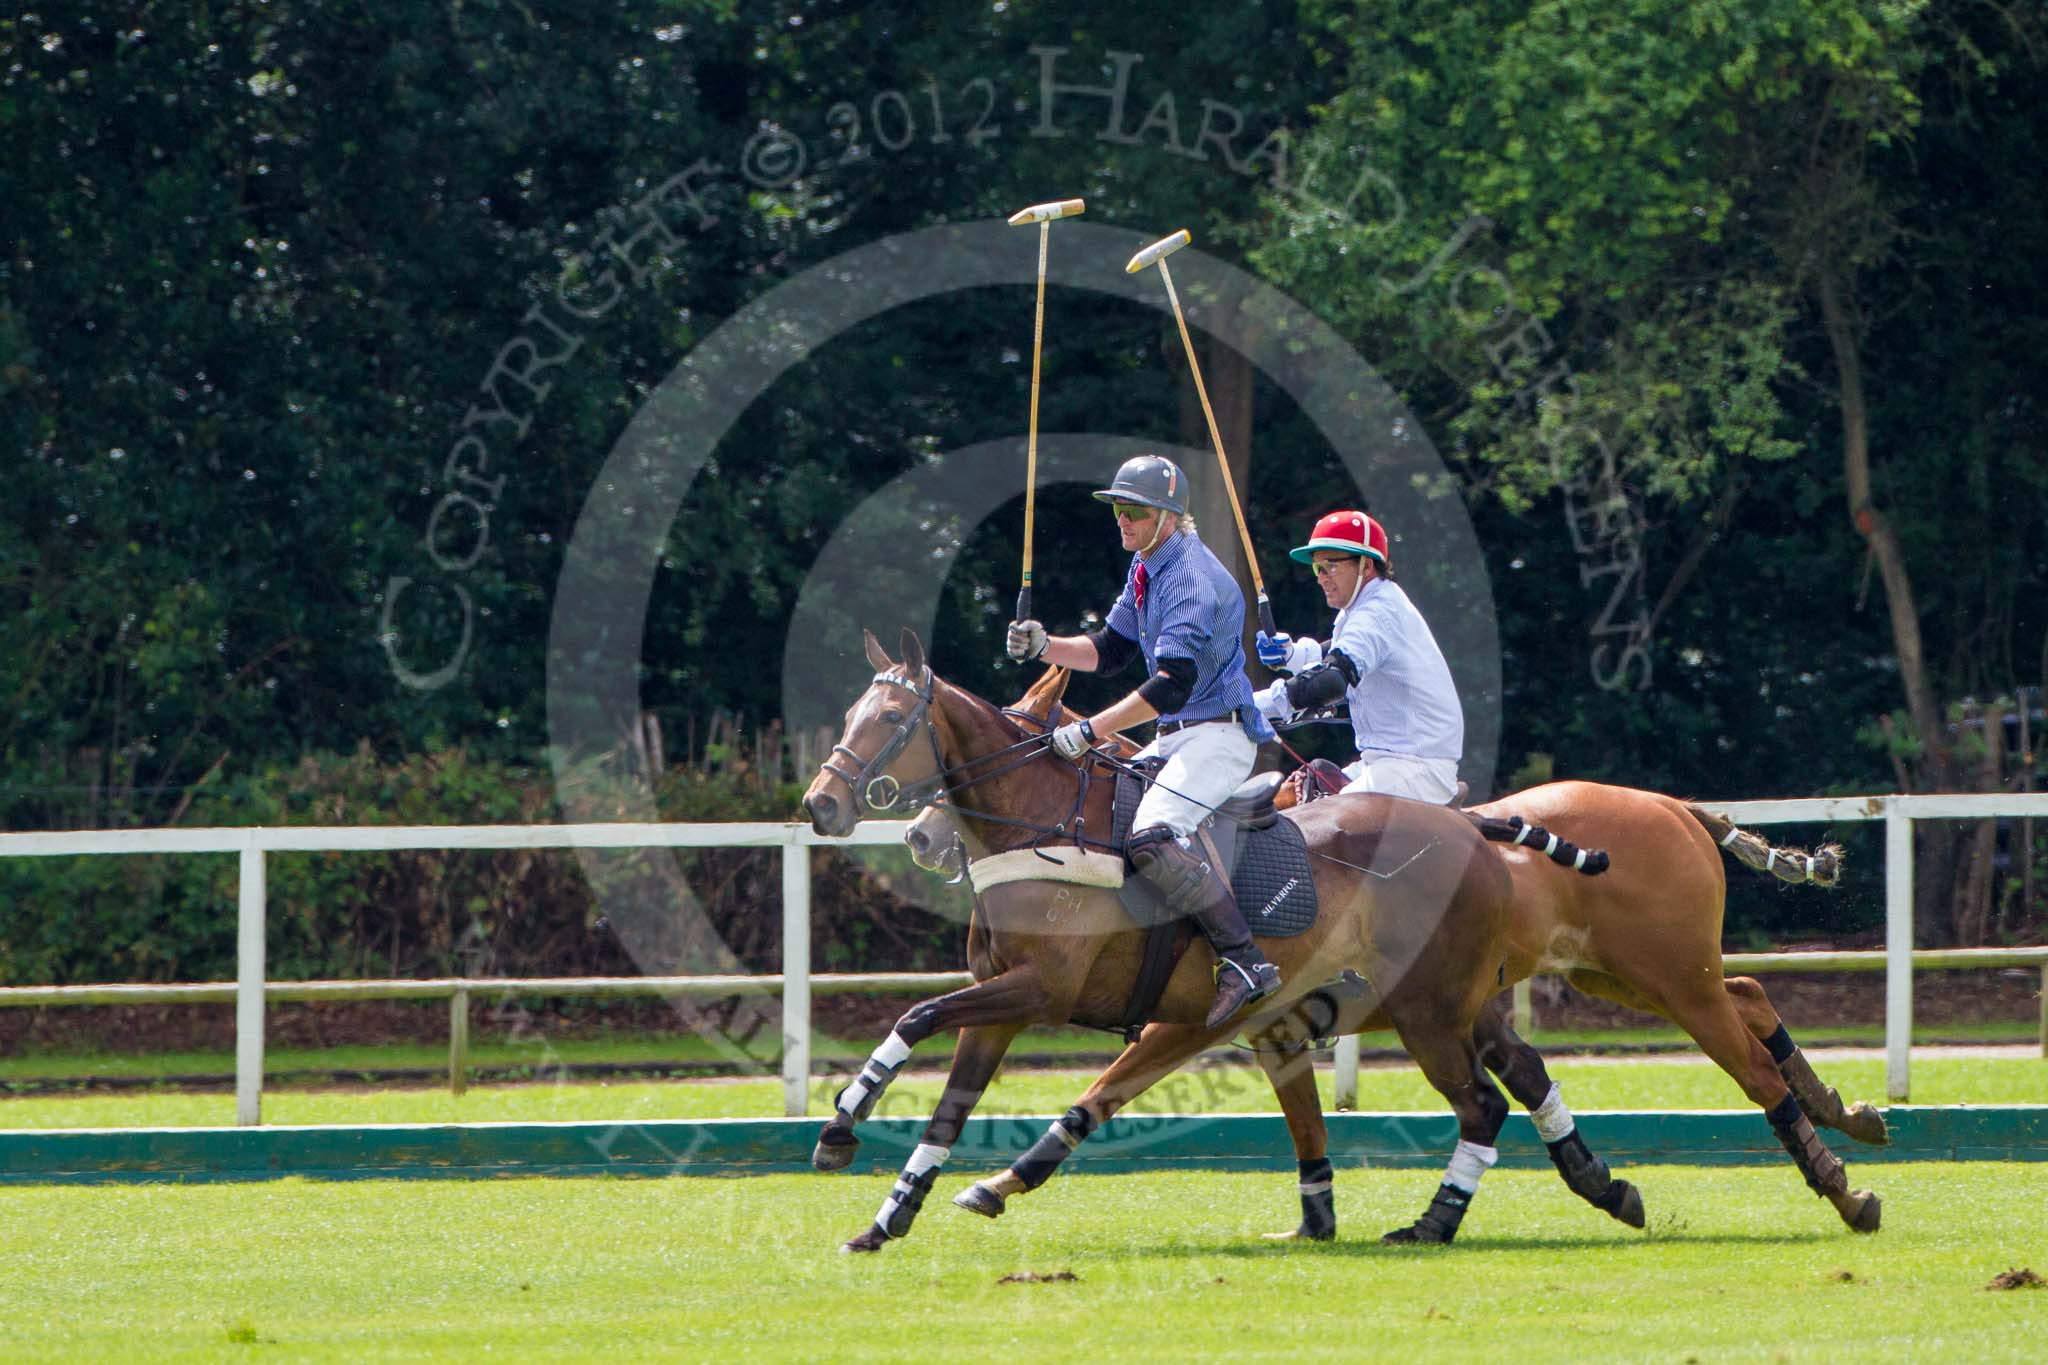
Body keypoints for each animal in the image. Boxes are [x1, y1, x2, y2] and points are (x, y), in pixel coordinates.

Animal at [798, 630, 1540, 1252]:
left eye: (890, 719)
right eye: (850, 716)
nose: (821, 804)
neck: (1045, 825)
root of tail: (1471, 826)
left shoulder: (1045, 991)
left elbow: (918, 1014)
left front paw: (842, 1124)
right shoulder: (1004, 1002)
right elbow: (949, 1107)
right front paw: (884, 1218)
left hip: (1427, 1009)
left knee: (1482, 1104)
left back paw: (1435, 1221)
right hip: (1446, 1008)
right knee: (1513, 1079)